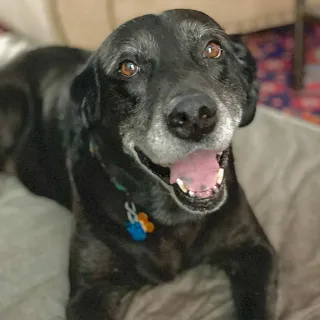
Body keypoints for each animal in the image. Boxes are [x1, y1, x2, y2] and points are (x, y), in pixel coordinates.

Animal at [0, 9, 276, 320]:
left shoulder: (254, 250)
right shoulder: (90, 291)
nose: (194, 116)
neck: (172, 216)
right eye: (128, 67)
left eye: (213, 49)